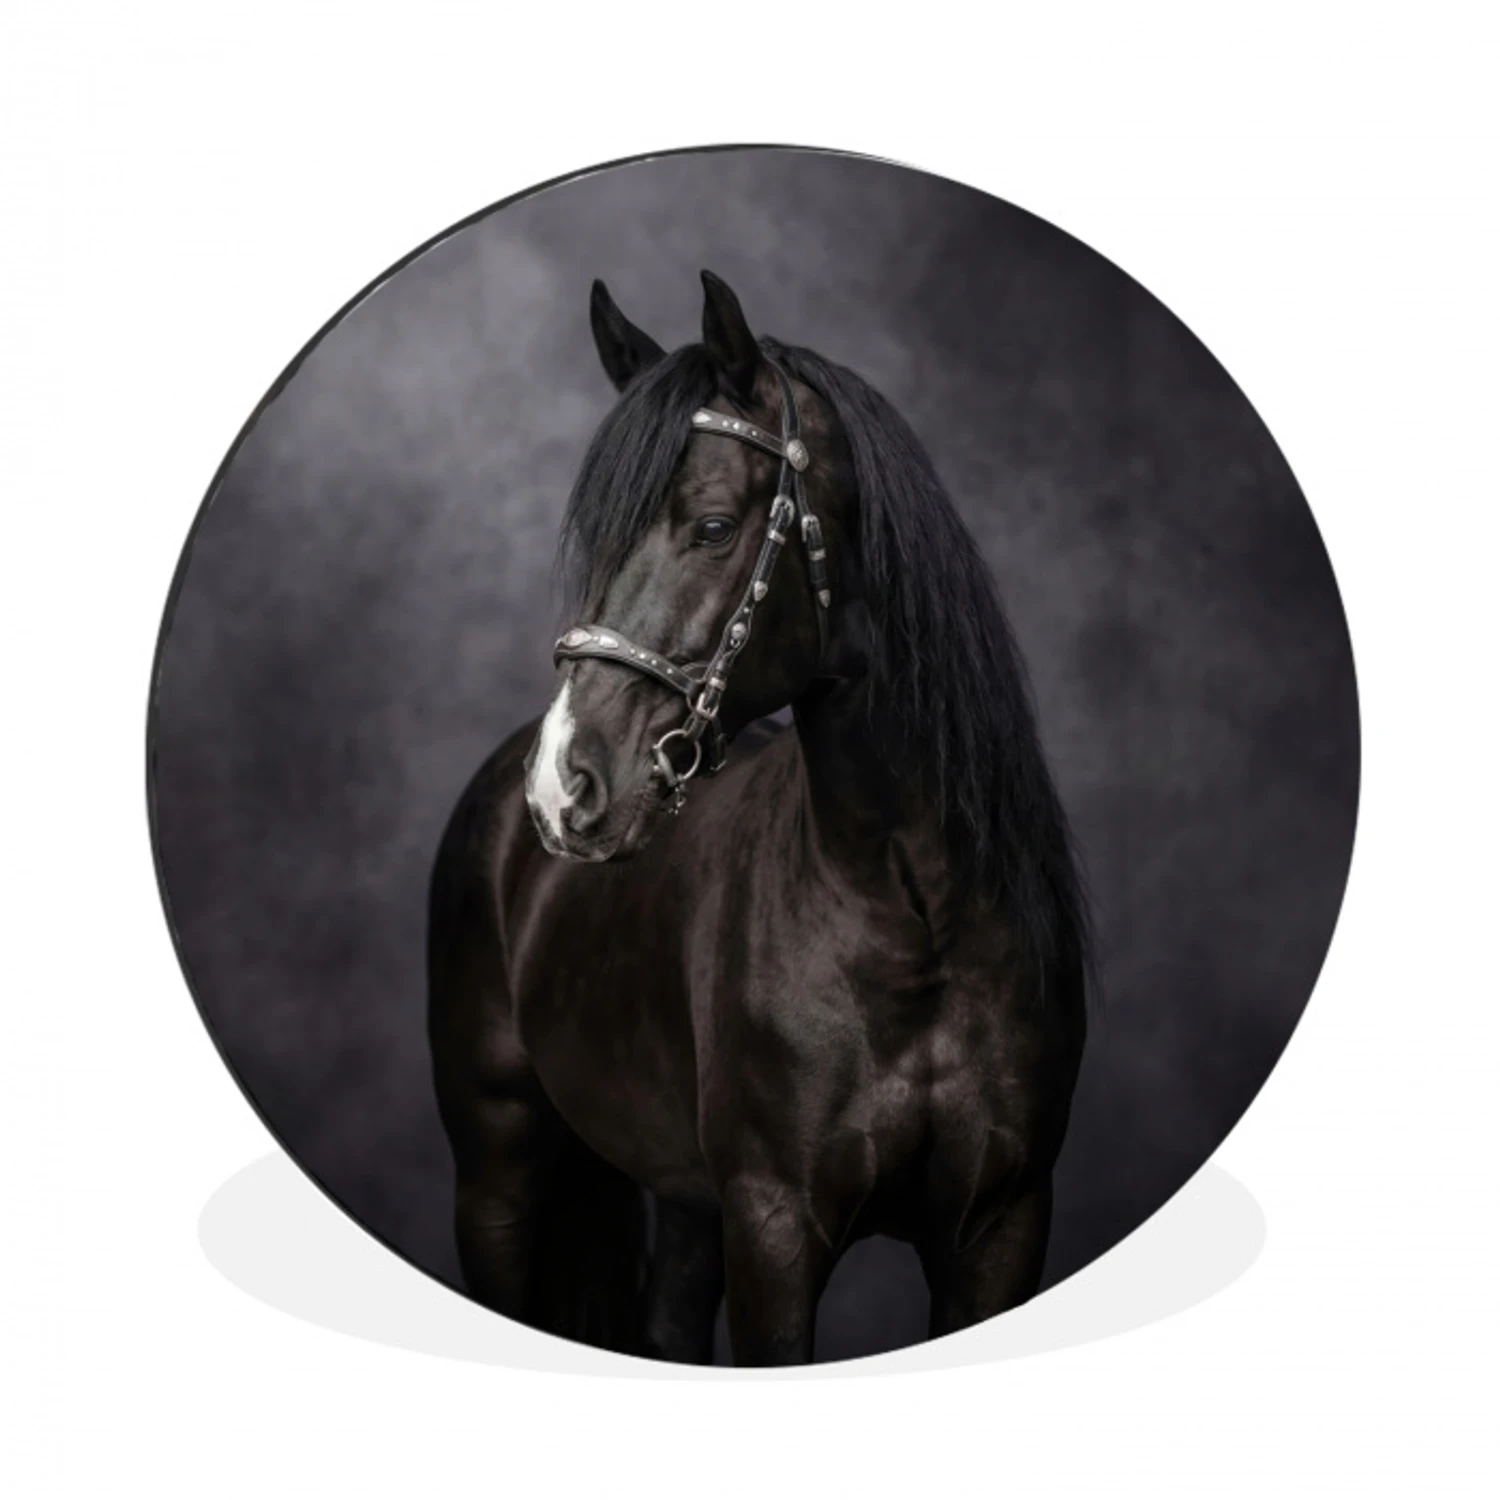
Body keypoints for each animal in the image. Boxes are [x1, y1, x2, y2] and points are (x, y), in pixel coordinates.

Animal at [427, 269, 1091, 1365]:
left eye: (708, 526)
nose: (564, 785)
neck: (915, 914)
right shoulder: (775, 1226)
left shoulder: (1001, 1223)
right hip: (497, 1176)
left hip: (685, 1203)